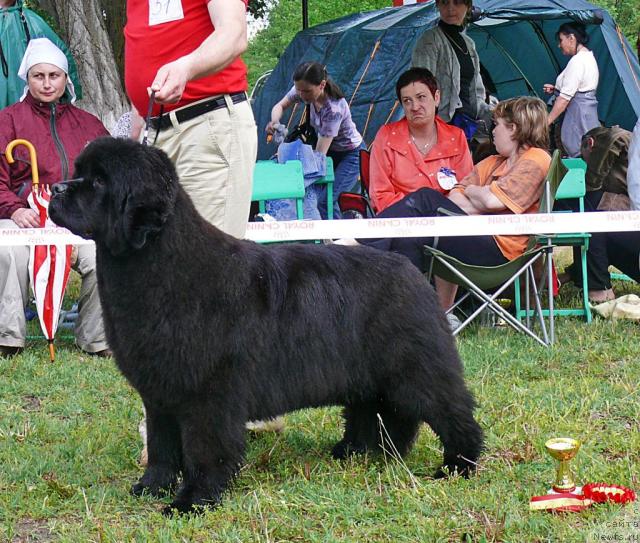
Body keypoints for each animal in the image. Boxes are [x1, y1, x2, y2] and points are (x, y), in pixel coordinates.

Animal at [48, 137, 480, 516]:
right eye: (80, 173)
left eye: (99, 181)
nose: (54, 188)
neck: (164, 266)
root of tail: (413, 271)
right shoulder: (160, 391)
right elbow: (162, 445)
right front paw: (151, 487)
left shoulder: (208, 394)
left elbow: (204, 449)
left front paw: (193, 501)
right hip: (370, 375)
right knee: (379, 412)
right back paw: (358, 452)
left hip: (417, 367)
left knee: (451, 410)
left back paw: (458, 465)